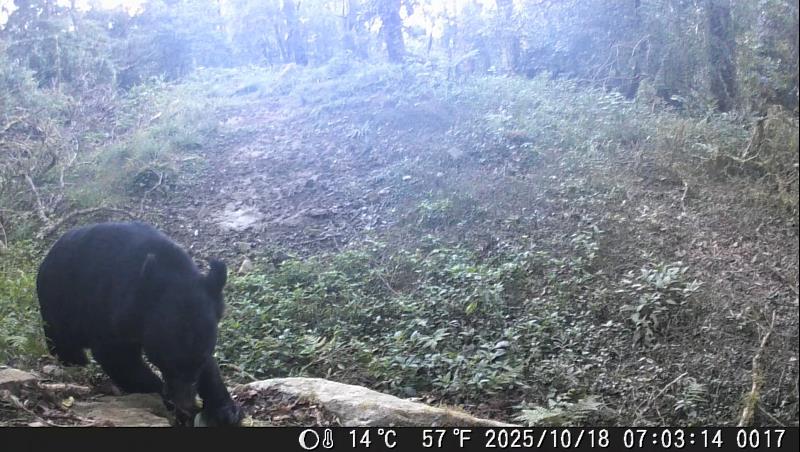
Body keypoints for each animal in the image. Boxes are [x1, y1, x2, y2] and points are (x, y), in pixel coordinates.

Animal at [36, 221, 243, 426]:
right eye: (169, 362)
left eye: (200, 359)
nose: (186, 404)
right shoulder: (110, 308)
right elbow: (117, 356)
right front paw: (167, 400)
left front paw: (226, 410)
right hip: (59, 303)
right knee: (63, 341)